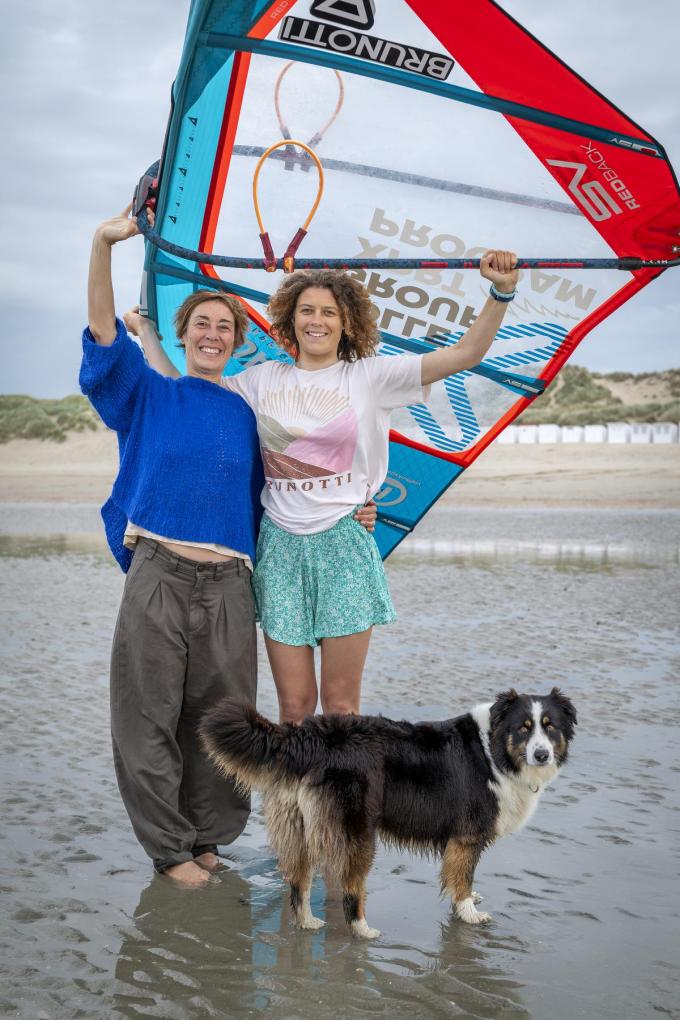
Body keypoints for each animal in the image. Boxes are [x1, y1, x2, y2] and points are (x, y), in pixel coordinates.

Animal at [199, 689, 579, 934]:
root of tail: (308, 737)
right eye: (524, 729)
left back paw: (307, 922)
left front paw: (468, 901)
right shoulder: (467, 836)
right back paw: (363, 930)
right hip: (357, 831)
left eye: (550, 727)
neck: (495, 751)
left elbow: (459, 876)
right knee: (351, 886)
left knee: (299, 880)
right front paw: (469, 913)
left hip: (300, 827)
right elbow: (462, 877)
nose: (542, 755)